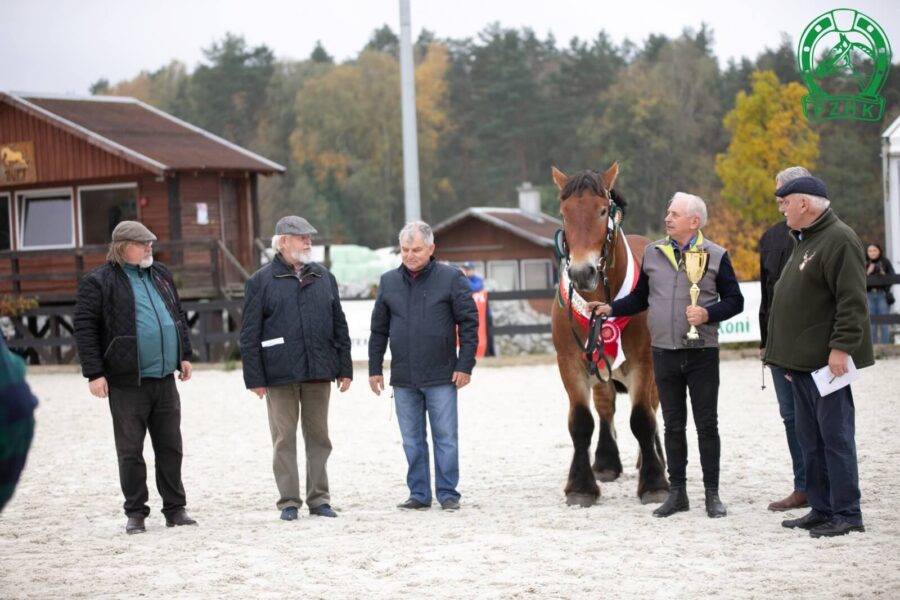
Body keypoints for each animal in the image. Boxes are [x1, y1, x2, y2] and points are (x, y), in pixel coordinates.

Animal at [548, 163, 668, 506]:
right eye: (564, 213)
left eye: (602, 210)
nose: (581, 272)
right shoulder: (571, 363)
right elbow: (581, 422)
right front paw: (580, 486)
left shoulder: (644, 363)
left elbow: (642, 418)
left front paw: (654, 482)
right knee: (605, 407)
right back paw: (605, 462)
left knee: (653, 408)